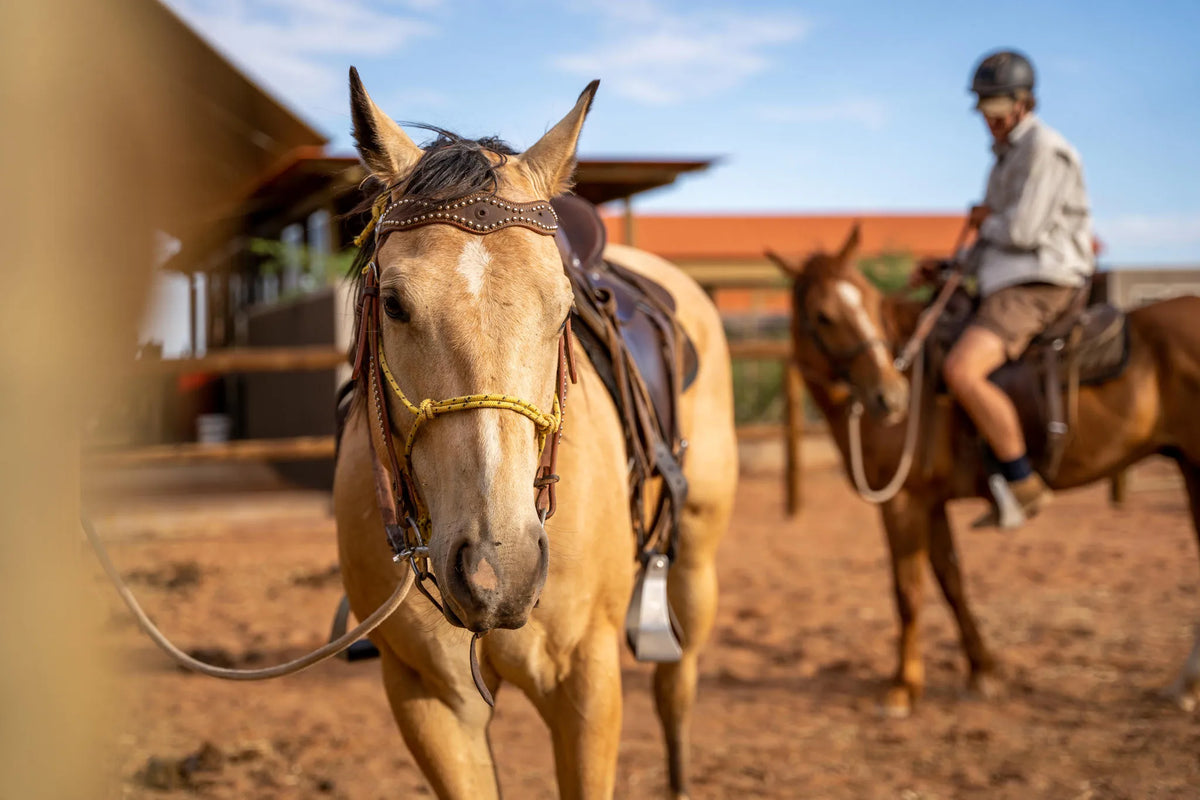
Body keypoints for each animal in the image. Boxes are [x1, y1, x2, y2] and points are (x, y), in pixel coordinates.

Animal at [333, 69, 737, 799]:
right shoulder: (427, 698)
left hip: (694, 560)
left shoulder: (587, 683)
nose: (499, 571)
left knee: (676, 686)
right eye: (395, 304)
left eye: (564, 309)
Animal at [770, 225, 1200, 717]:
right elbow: (951, 582)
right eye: (822, 316)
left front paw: (902, 688)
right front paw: (982, 673)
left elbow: (908, 591)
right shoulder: (929, 502)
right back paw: (1185, 686)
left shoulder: (902, 504)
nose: (891, 399)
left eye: (871, 304)